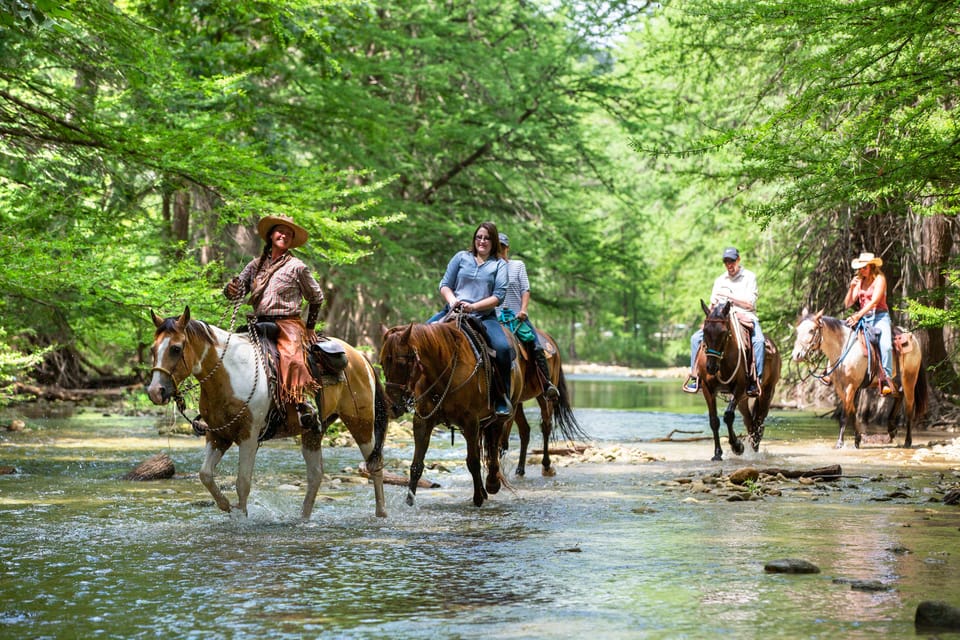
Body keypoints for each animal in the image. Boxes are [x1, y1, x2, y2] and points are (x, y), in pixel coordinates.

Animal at [146, 306, 386, 520]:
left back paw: (381, 514)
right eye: (152, 349)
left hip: (361, 423)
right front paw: (227, 507)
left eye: (176, 348)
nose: (155, 392)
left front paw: (241, 517)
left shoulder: (248, 437)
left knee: (374, 465)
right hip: (313, 430)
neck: (230, 374)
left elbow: (242, 482)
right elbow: (205, 475)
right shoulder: (218, 435)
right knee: (315, 475)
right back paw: (303, 518)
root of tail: (360, 357)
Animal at [378, 318, 520, 508]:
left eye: (402, 363)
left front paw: (477, 499)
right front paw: (409, 501)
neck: (443, 371)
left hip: (497, 419)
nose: (393, 407)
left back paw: (491, 484)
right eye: (382, 363)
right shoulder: (423, 421)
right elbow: (416, 464)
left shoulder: (470, 421)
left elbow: (473, 461)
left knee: (493, 449)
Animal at [692, 300, 784, 460]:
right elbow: (714, 420)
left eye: (724, 332)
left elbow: (728, 416)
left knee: (759, 423)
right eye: (704, 331)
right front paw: (717, 453)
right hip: (743, 400)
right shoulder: (707, 389)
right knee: (750, 423)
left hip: (767, 392)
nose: (711, 367)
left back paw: (754, 450)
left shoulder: (739, 387)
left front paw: (737, 447)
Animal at [792, 308, 928, 448]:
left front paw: (840, 442)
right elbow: (852, 412)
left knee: (909, 407)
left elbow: (845, 415)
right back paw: (891, 428)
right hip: (895, 382)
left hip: (909, 379)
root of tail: (912, 338)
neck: (843, 348)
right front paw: (857, 439)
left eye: (811, 330)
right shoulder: (840, 388)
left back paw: (907, 441)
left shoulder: (851, 386)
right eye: (797, 330)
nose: (796, 355)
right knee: (899, 395)